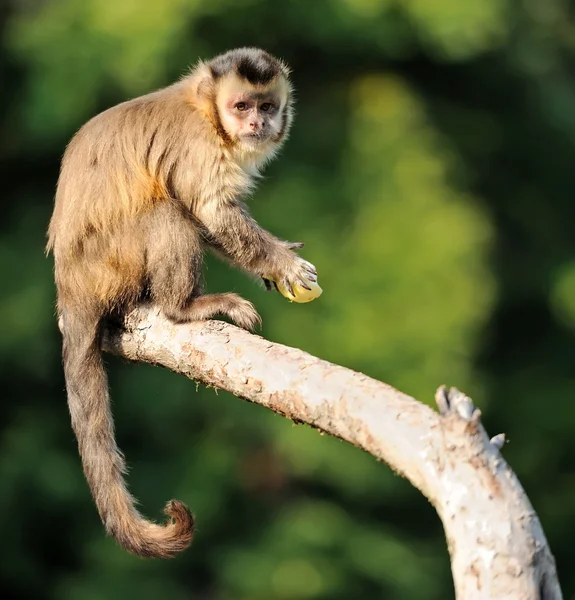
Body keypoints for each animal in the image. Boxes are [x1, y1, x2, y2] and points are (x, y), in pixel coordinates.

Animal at [45, 47, 318, 556]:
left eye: (266, 106)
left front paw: (274, 262)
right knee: (166, 212)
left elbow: (210, 218)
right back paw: (183, 307)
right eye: (241, 107)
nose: (257, 124)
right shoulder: (200, 145)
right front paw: (282, 264)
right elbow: (209, 209)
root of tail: (68, 283)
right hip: (109, 262)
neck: (207, 112)